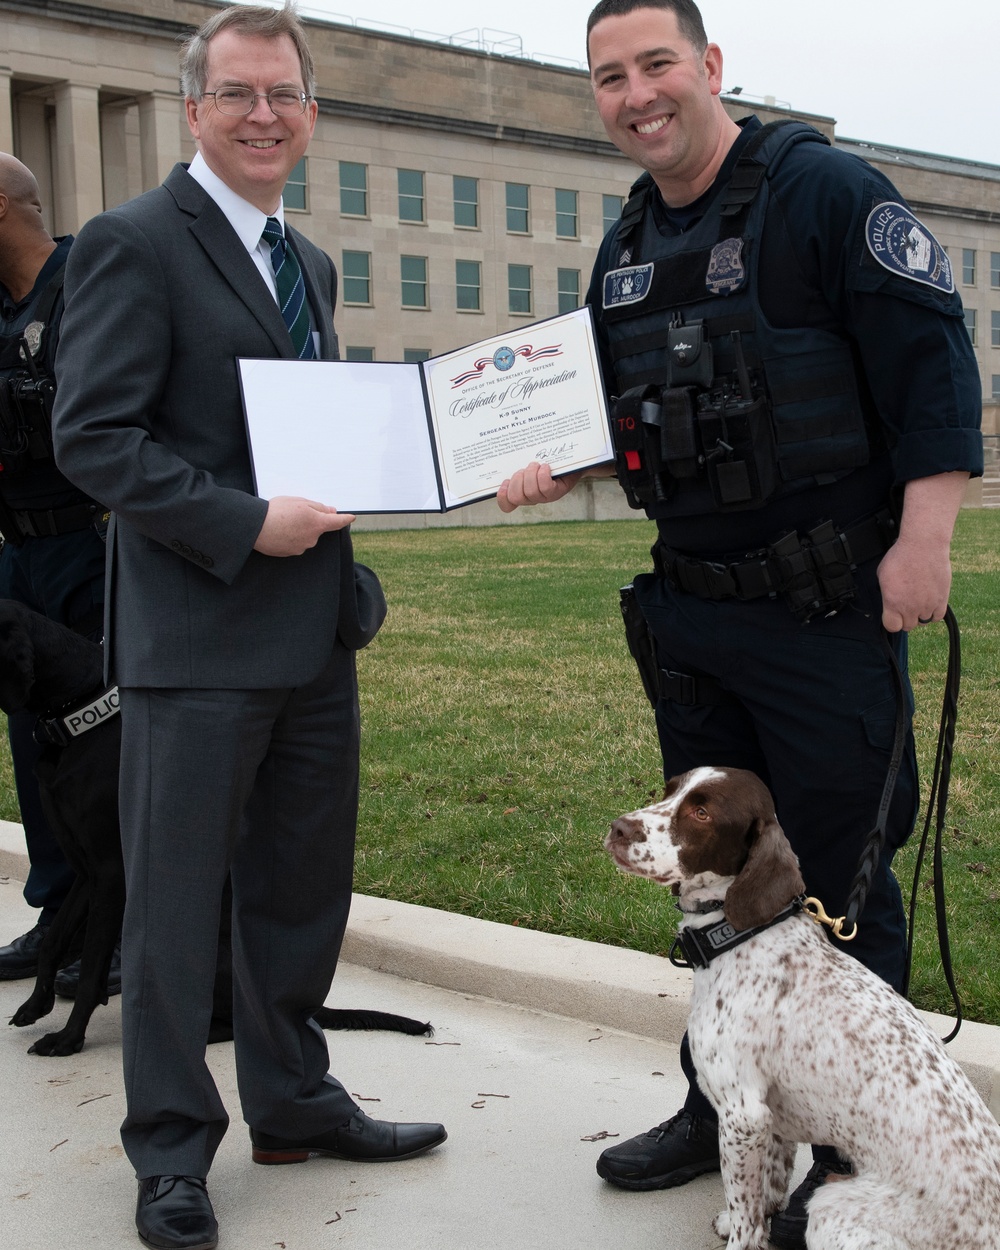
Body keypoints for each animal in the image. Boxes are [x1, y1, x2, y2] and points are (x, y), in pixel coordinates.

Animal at [0, 600, 425, 1050]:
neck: (77, 716)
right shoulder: (86, 872)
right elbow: (53, 940)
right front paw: (35, 1005)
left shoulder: (111, 874)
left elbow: (93, 965)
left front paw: (67, 1039)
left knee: (229, 1022)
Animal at [605, 765, 995, 1250]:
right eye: (670, 790)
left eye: (702, 813)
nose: (618, 828)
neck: (741, 934)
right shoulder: (769, 1121)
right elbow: (765, 1195)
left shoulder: (743, 1113)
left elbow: (746, 1213)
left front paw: (741, 1234)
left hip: (830, 1206)